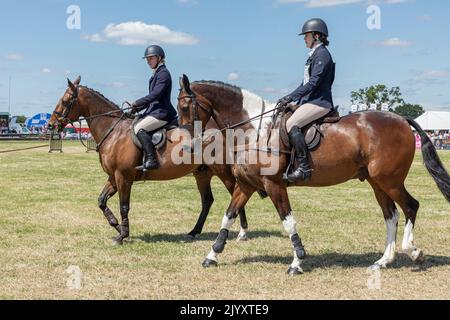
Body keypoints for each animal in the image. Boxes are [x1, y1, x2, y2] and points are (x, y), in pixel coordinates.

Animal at [49, 75, 253, 245]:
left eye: (65, 101)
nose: (51, 125)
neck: (114, 131)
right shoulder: (113, 177)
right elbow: (101, 201)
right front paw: (117, 226)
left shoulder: (123, 177)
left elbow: (124, 206)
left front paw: (122, 235)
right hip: (202, 173)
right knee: (207, 201)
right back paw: (194, 232)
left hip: (222, 171)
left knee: (235, 193)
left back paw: (242, 232)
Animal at [177, 75, 450, 276]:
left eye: (184, 107)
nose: (187, 146)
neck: (255, 131)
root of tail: (402, 119)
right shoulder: (245, 185)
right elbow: (228, 217)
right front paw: (212, 255)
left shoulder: (274, 185)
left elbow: (288, 222)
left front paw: (297, 262)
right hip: (377, 182)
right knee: (391, 215)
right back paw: (383, 260)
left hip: (390, 180)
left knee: (410, 206)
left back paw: (413, 252)